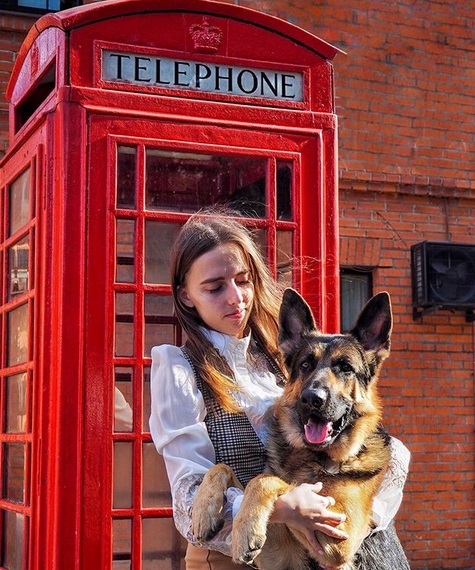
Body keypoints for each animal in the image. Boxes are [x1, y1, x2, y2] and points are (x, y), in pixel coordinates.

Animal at [192, 288, 410, 568]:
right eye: (305, 365)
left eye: (345, 368)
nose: (311, 398)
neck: (314, 458)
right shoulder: (276, 552)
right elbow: (224, 468)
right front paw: (205, 511)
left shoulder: (338, 540)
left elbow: (270, 480)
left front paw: (246, 525)